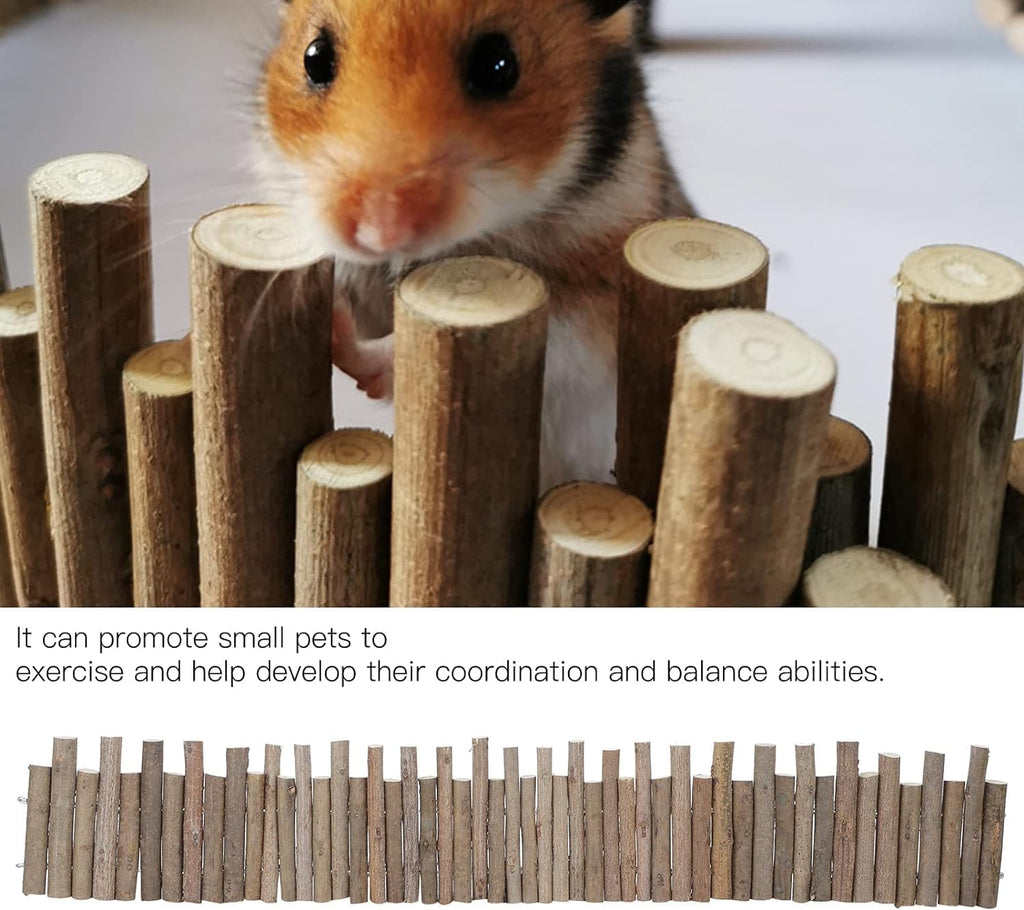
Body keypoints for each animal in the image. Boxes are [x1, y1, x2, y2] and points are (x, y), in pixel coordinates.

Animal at [257, 0, 693, 489]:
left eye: (497, 65)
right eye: (315, 57)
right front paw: (328, 312)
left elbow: (552, 339)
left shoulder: (595, 310)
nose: (378, 233)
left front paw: (355, 349)